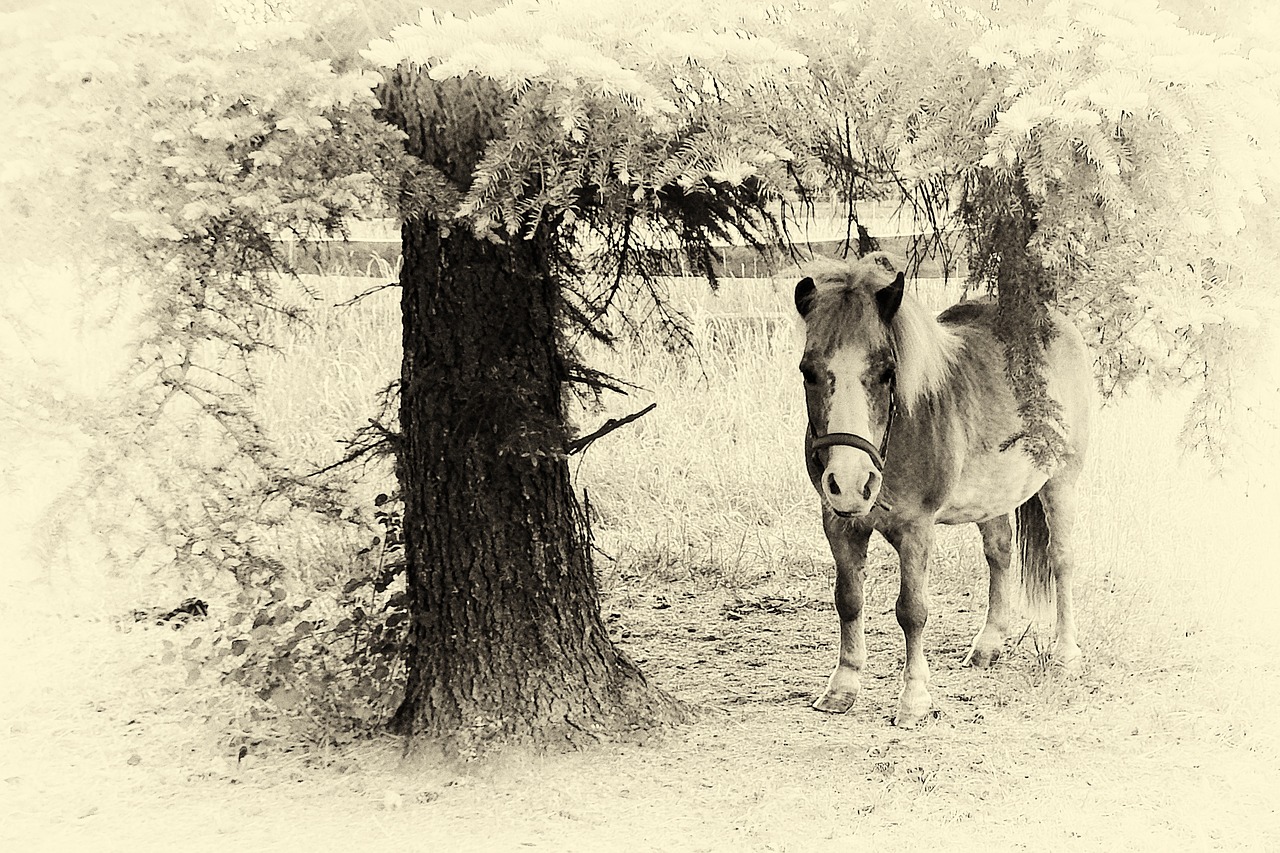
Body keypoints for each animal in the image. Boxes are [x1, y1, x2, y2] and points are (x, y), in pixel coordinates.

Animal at [793, 252, 1095, 722]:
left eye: (887, 372)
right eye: (808, 371)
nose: (851, 483)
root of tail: (1054, 323)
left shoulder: (916, 529)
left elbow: (912, 610)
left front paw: (914, 698)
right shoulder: (838, 523)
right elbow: (848, 599)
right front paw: (843, 686)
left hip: (1061, 483)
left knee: (1061, 560)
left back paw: (1066, 655)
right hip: (993, 495)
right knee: (1000, 553)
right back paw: (989, 644)